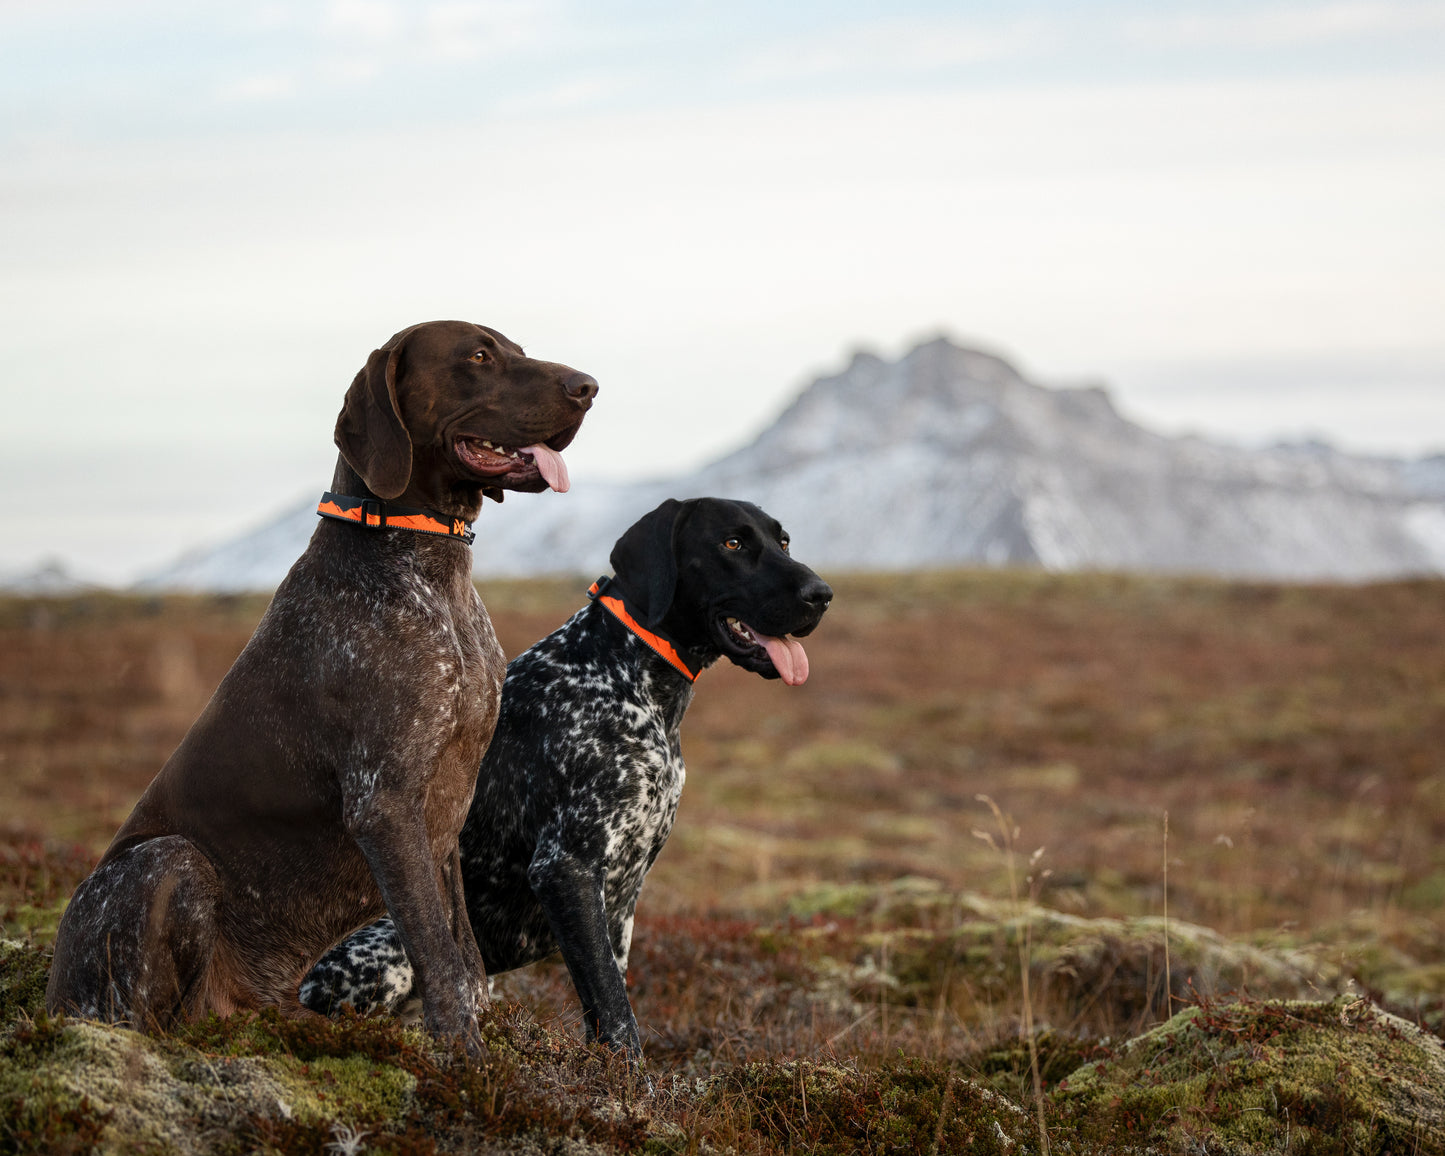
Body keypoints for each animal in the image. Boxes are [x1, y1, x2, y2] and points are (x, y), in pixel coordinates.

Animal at [46, 317, 598, 1057]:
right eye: (479, 356)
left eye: (516, 349)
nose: (588, 387)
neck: (429, 568)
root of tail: (51, 992)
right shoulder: (384, 802)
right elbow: (440, 959)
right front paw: (464, 1059)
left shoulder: (445, 816)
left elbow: (466, 957)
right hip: (168, 865)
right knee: (144, 1019)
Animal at [299, 497, 832, 1057]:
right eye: (732, 543)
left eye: (783, 541)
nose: (822, 594)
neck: (633, 677)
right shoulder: (566, 868)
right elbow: (618, 1017)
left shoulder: (619, 906)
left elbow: (609, 1003)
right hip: (386, 952)